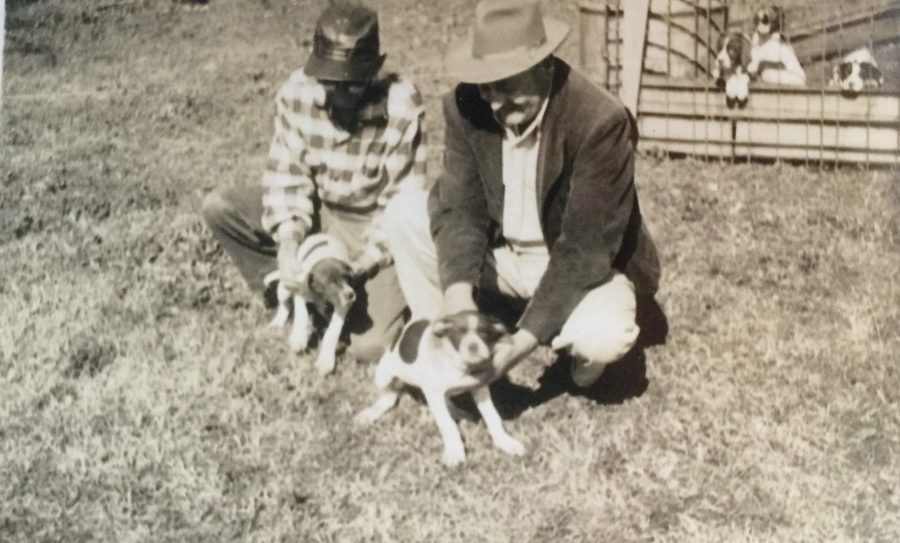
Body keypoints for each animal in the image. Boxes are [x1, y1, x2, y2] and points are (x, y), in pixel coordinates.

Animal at [264, 232, 356, 376]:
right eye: (330, 283)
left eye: (347, 278)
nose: (351, 295)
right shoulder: (300, 290)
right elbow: (301, 314)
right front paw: (299, 338)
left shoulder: (341, 306)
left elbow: (332, 332)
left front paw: (325, 360)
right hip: (284, 288)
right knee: (284, 305)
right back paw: (277, 323)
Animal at [356, 310, 528, 468]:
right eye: (459, 332)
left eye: (484, 332)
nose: (473, 346)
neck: (460, 364)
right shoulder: (433, 393)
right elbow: (448, 424)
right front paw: (454, 451)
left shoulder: (479, 387)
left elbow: (493, 417)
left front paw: (504, 441)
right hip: (384, 375)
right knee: (389, 397)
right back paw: (371, 413)